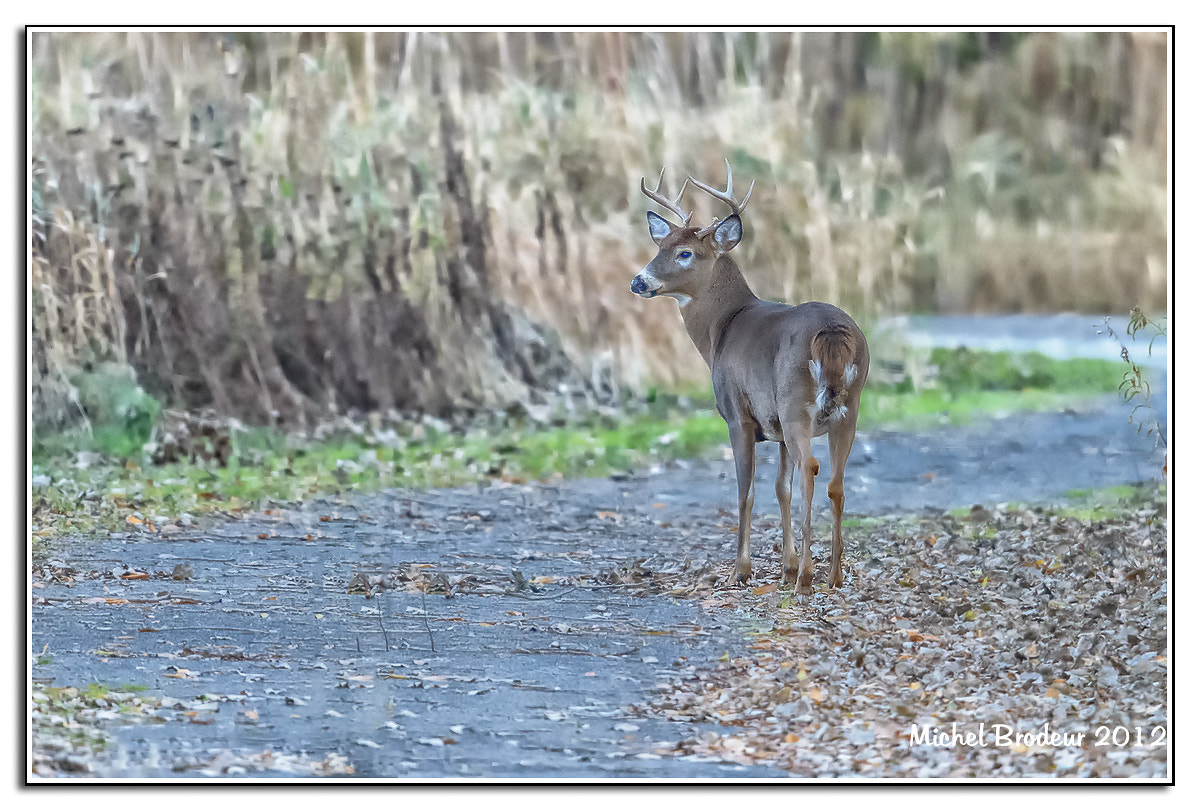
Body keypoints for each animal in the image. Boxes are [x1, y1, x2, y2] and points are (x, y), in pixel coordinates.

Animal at [628, 163, 873, 595]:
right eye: (660, 246)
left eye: (685, 253)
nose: (639, 281)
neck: (721, 329)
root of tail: (831, 332)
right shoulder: (775, 428)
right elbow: (780, 488)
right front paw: (785, 567)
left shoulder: (737, 414)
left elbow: (746, 491)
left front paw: (742, 570)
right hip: (849, 406)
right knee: (836, 482)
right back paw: (833, 575)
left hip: (796, 401)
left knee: (811, 468)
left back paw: (808, 578)